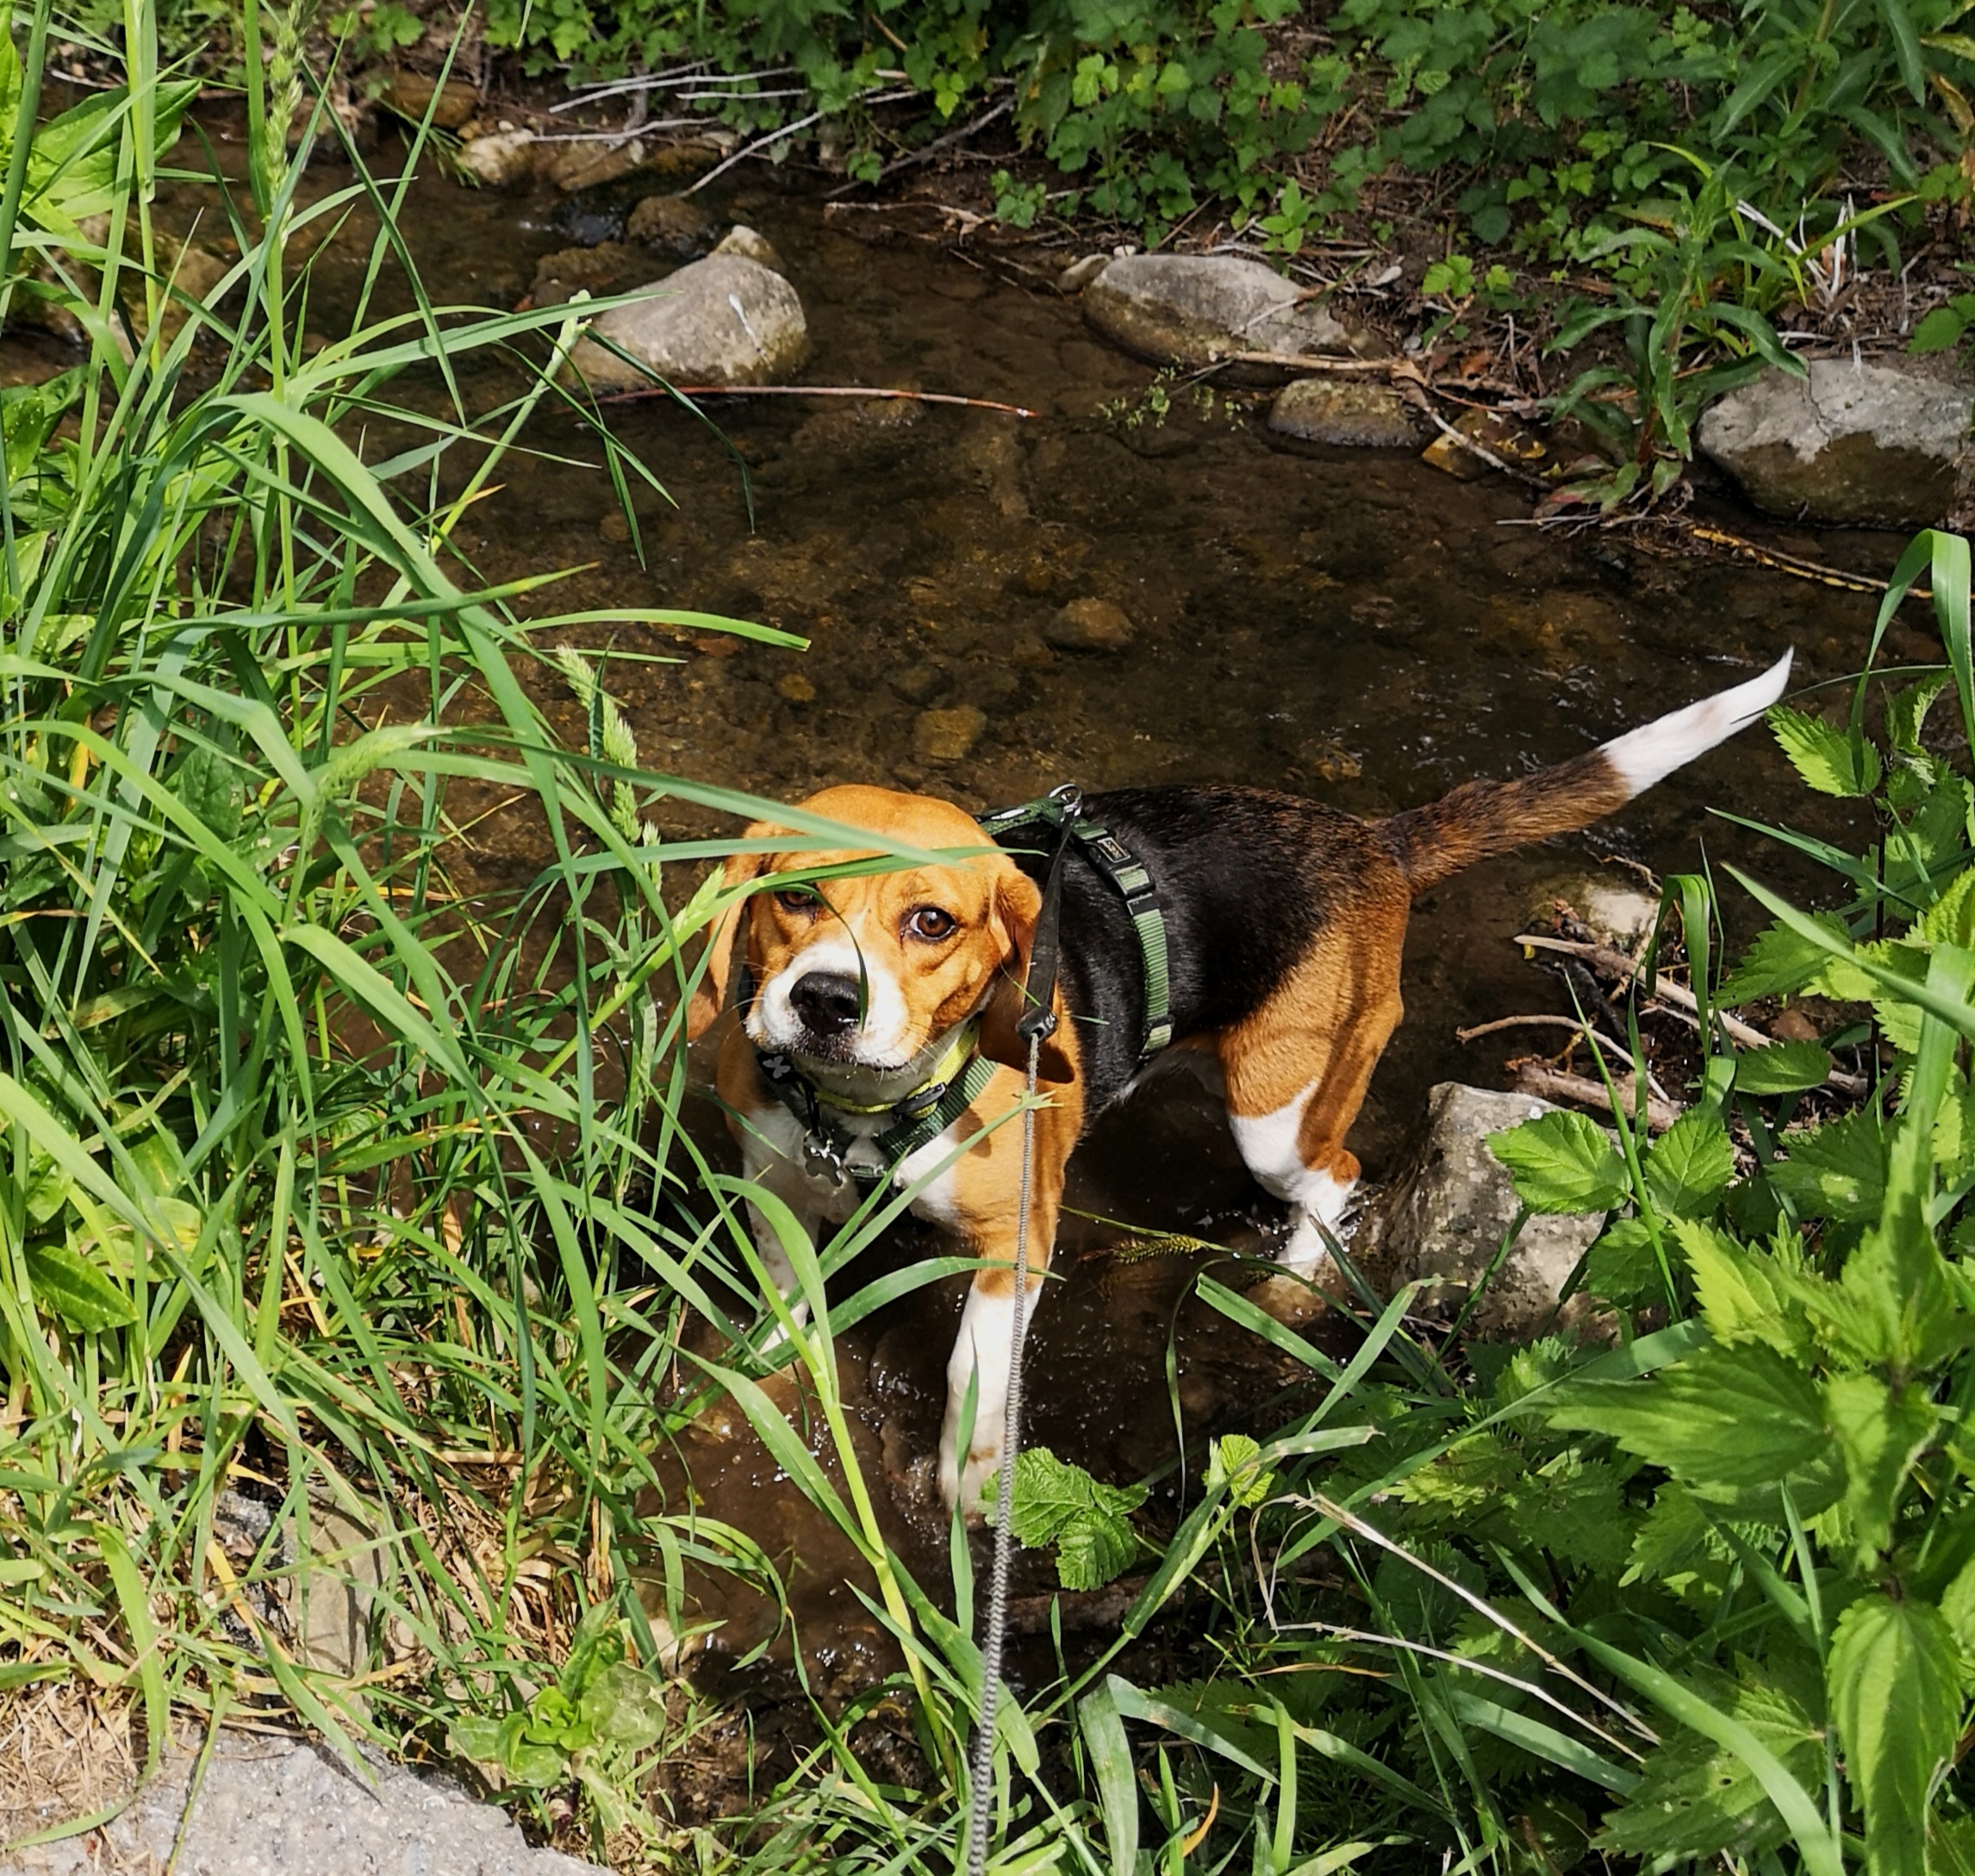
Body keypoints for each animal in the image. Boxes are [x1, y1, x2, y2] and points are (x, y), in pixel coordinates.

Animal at [687, 651, 1801, 1516]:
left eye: (931, 922)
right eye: (795, 896)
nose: (824, 999)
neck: (863, 1108)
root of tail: (1374, 842)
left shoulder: (1019, 1239)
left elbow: (975, 1363)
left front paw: (970, 1472)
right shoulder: (780, 1196)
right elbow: (782, 1320)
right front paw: (760, 1399)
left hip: (1279, 1111)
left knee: (1338, 1174)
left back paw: (1295, 1283)